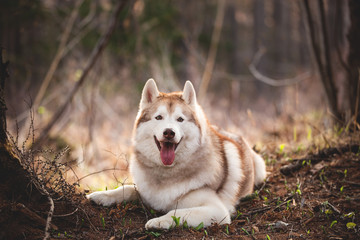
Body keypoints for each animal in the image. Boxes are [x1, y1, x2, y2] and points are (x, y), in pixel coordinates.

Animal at [88, 78, 266, 229]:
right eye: (159, 117)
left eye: (180, 119)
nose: (169, 132)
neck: (166, 173)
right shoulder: (145, 192)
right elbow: (126, 188)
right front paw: (102, 195)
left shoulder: (216, 210)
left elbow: (177, 212)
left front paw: (158, 221)